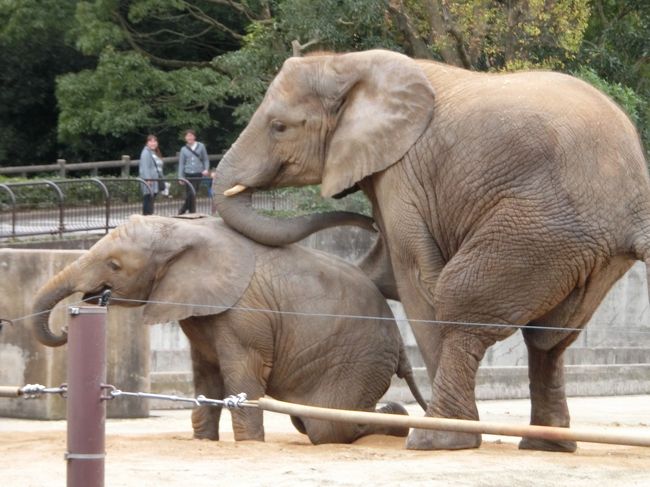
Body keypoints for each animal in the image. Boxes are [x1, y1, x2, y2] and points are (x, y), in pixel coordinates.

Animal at [33, 215, 426, 444]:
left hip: (358, 360)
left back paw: (398, 418)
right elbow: (206, 375)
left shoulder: (245, 313)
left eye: (114, 265)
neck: (185, 229)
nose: (67, 325)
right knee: (310, 420)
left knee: (326, 426)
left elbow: (241, 374)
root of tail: (400, 343)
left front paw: (249, 443)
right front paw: (204, 442)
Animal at [213, 49, 648, 454]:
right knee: (549, 339)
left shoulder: (403, 173)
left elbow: (416, 277)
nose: (366, 224)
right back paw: (544, 445)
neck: (349, 62)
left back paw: (439, 438)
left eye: (279, 127)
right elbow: (384, 272)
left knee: (462, 299)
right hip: (580, 251)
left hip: (540, 227)